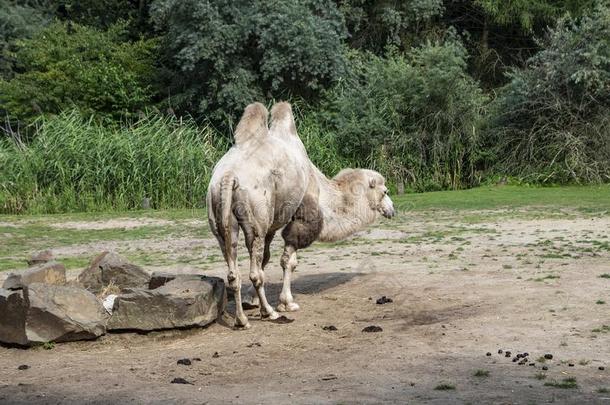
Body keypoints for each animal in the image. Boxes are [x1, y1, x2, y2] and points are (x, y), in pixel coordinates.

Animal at [205, 102, 394, 328]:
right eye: (385, 192)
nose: (392, 209)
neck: (321, 188)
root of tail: (228, 176)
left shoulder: (272, 225)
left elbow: (266, 258)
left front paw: (252, 300)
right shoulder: (302, 216)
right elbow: (289, 261)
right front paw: (287, 303)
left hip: (219, 213)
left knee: (233, 265)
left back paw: (241, 319)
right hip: (255, 216)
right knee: (254, 271)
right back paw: (269, 312)